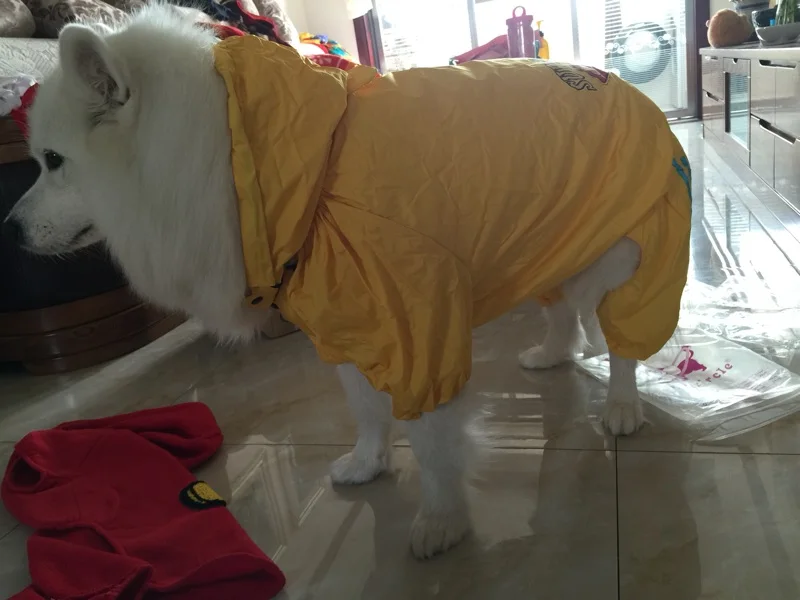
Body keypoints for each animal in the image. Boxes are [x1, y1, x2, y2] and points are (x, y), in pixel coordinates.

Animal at [3, 5, 691, 559]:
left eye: (54, 161)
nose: (8, 231)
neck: (234, 160)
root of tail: (622, 85)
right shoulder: (346, 315)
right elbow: (364, 407)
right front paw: (369, 464)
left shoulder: (418, 320)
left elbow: (433, 438)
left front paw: (441, 521)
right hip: (546, 237)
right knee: (560, 314)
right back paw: (550, 356)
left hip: (623, 256)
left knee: (621, 341)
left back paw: (622, 406)